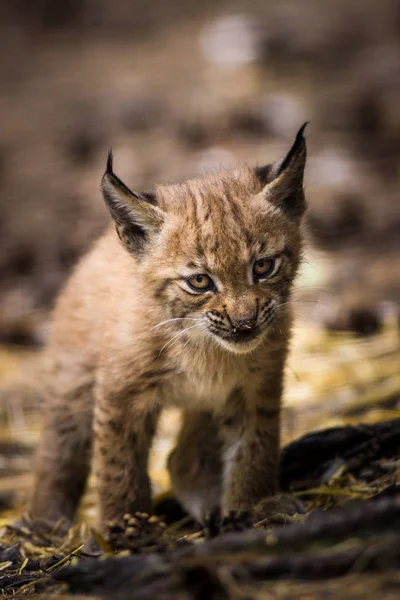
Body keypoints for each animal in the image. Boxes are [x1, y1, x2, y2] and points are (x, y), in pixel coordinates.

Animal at [28, 124, 306, 528]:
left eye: (263, 266)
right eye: (200, 281)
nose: (244, 323)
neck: (204, 344)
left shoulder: (259, 381)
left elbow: (256, 445)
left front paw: (255, 506)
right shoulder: (120, 390)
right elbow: (117, 464)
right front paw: (125, 526)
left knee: (183, 455)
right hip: (73, 378)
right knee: (57, 446)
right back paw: (42, 524)